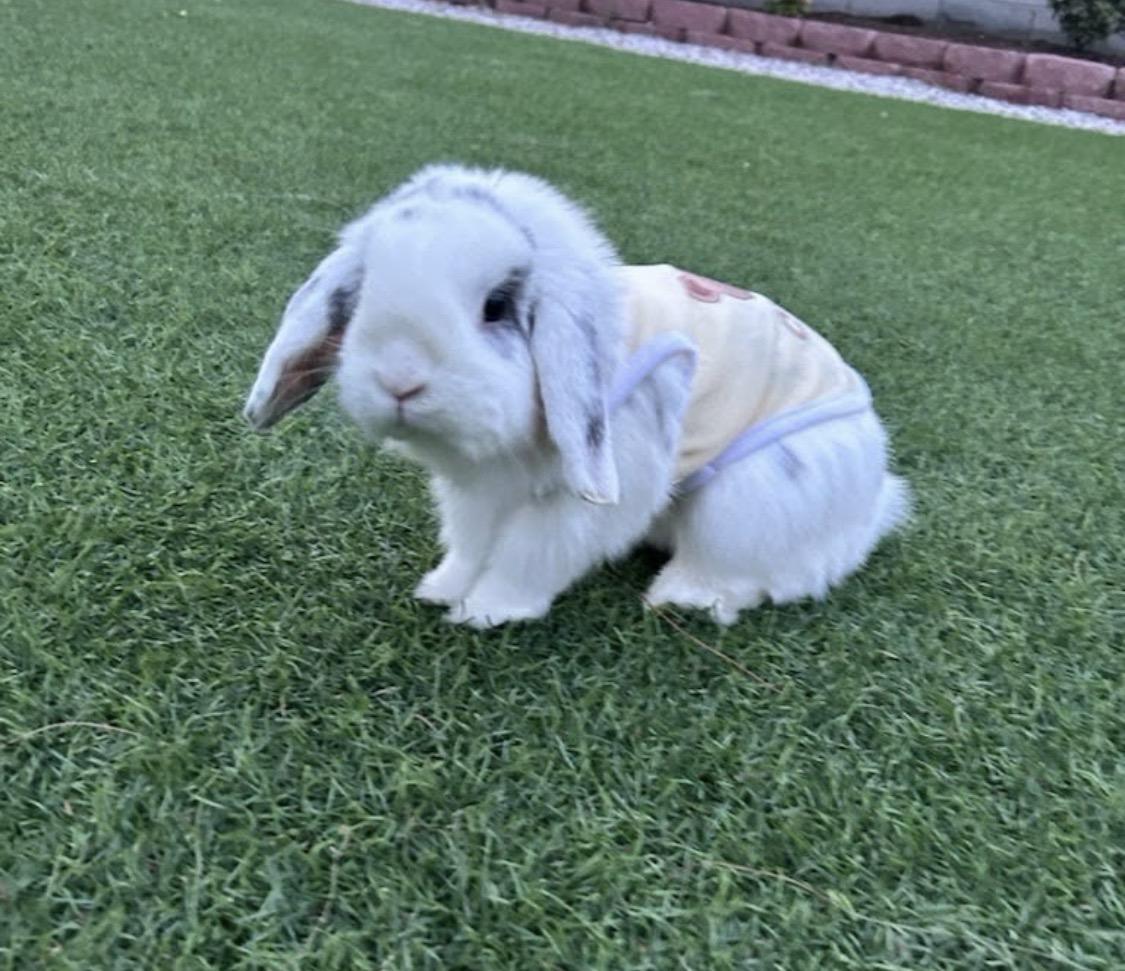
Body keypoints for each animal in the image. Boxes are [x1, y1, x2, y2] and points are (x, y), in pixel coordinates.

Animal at [243, 163, 909, 627]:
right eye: (362, 297)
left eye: (496, 306)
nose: (400, 378)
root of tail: (873, 496)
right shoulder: (477, 495)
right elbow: (471, 545)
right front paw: (441, 591)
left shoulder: (579, 503)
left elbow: (529, 555)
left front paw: (487, 613)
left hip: (750, 497)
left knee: (753, 573)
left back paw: (680, 598)